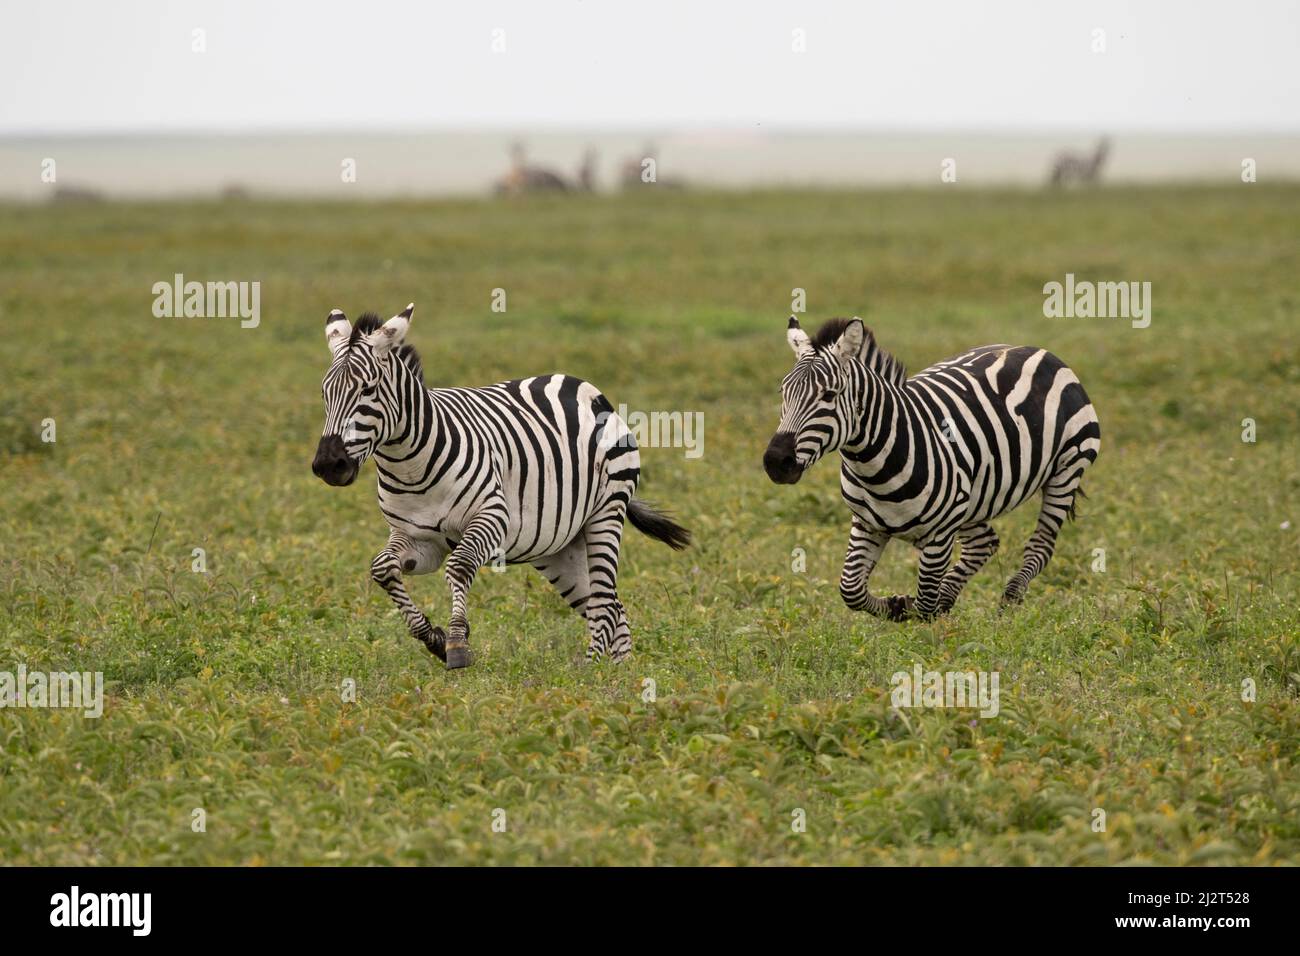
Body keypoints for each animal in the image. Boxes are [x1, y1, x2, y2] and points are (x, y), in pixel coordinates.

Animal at [310, 304, 691, 665]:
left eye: (368, 390)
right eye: (325, 394)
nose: (329, 465)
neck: (410, 466)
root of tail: (582, 385)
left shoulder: (492, 517)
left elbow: (459, 565)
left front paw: (457, 642)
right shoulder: (417, 539)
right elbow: (382, 568)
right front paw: (433, 639)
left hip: (606, 512)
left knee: (603, 605)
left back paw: (591, 671)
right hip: (559, 544)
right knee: (612, 606)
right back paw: (617, 674)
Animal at [764, 317, 1102, 624]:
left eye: (829, 395)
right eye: (783, 392)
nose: (775, 463)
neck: (874, 469)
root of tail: (1036, 350)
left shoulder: (940, 534)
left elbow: (925, 603)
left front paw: (929, 638)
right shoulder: (866, 524)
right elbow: (851, 589)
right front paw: (897, 606)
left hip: (1067, 468)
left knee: (1040, 545)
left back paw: (1008, 600)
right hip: (971, 499)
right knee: (984, 542)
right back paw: (948, 598)